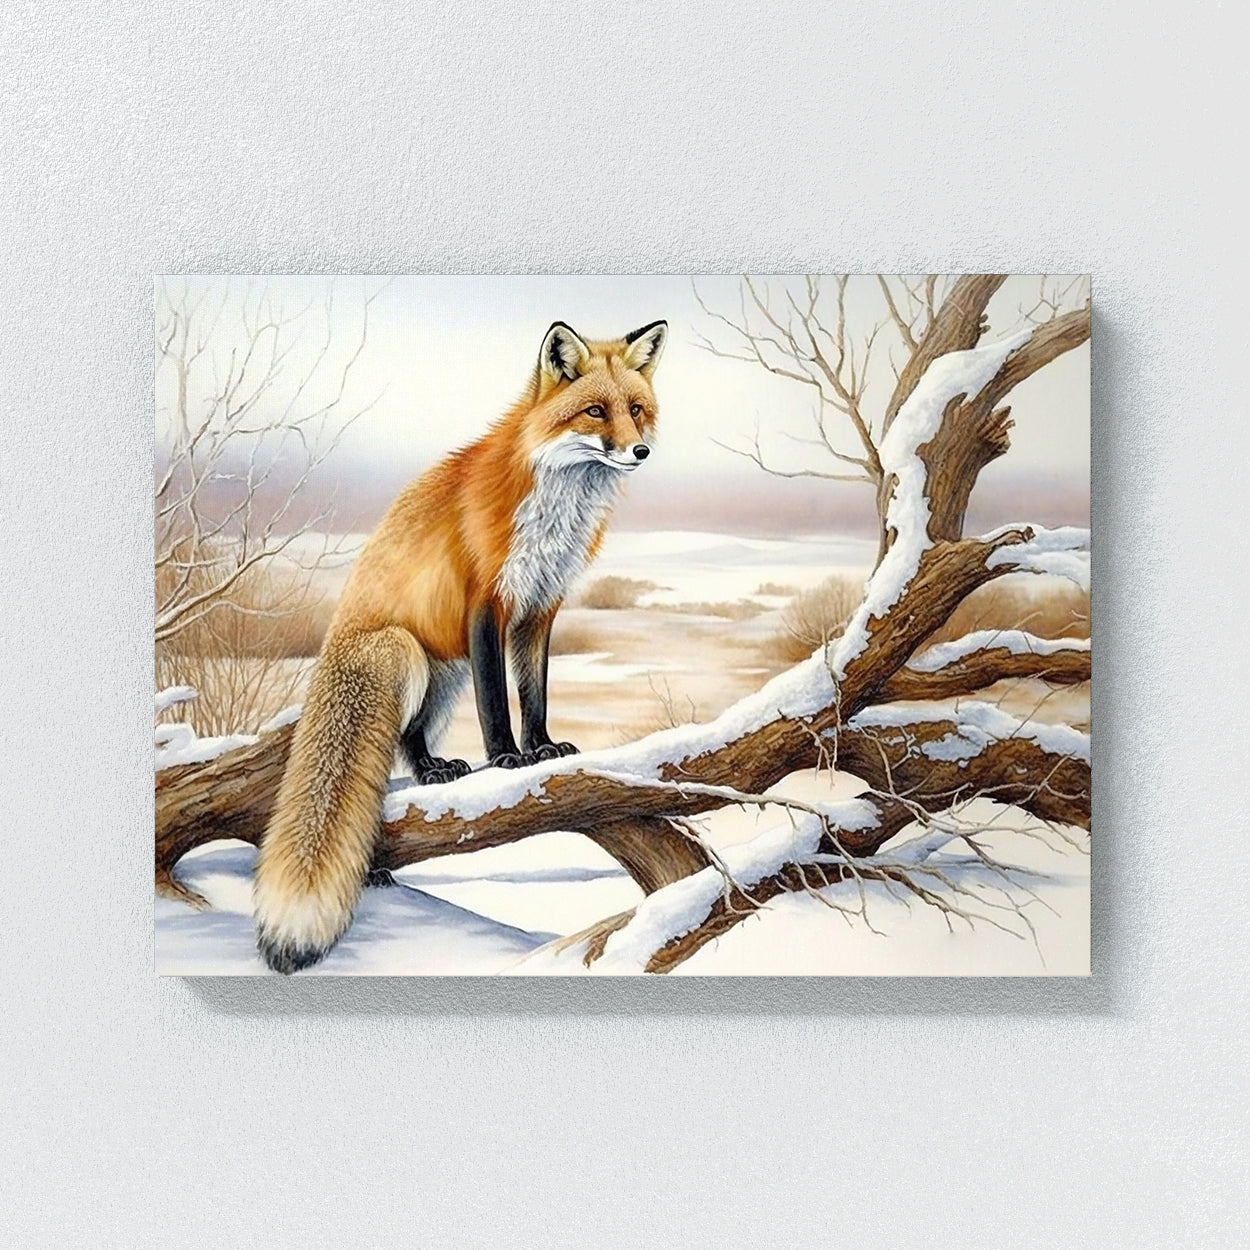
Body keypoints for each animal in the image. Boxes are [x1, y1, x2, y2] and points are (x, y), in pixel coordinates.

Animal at [253, 318, 667, 973]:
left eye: (635, 410)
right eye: (595, 411)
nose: (640, 451)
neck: (554, 508)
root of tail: (330, 658)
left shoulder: (539, 608)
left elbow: (534, 693)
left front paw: (542, 748)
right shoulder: (485, 603)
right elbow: (496, 701)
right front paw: (506, 759)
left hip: (442, 676)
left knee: (412, 735)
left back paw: (435, 767)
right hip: (407, 653)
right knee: (400, 734)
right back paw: (431, 773)